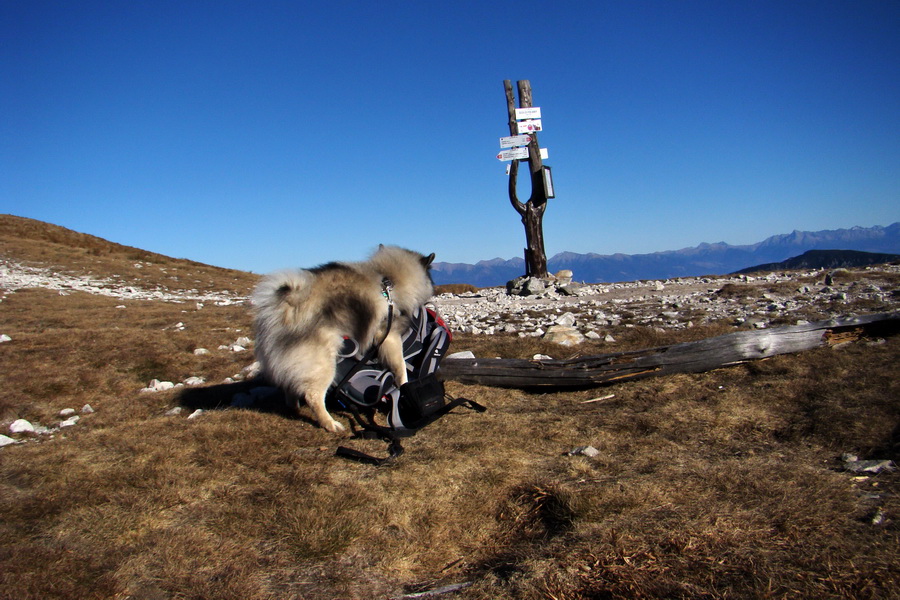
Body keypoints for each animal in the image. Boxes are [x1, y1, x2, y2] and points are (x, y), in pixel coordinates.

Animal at [253, 246, 436, 434]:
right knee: (313, 395)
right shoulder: (389, 336)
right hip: (323, 363)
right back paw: (330, 423)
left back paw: (294, 407)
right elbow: (400, 367)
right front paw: (404, 385)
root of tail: (288, 305)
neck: (389, 282)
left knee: (289, 387)